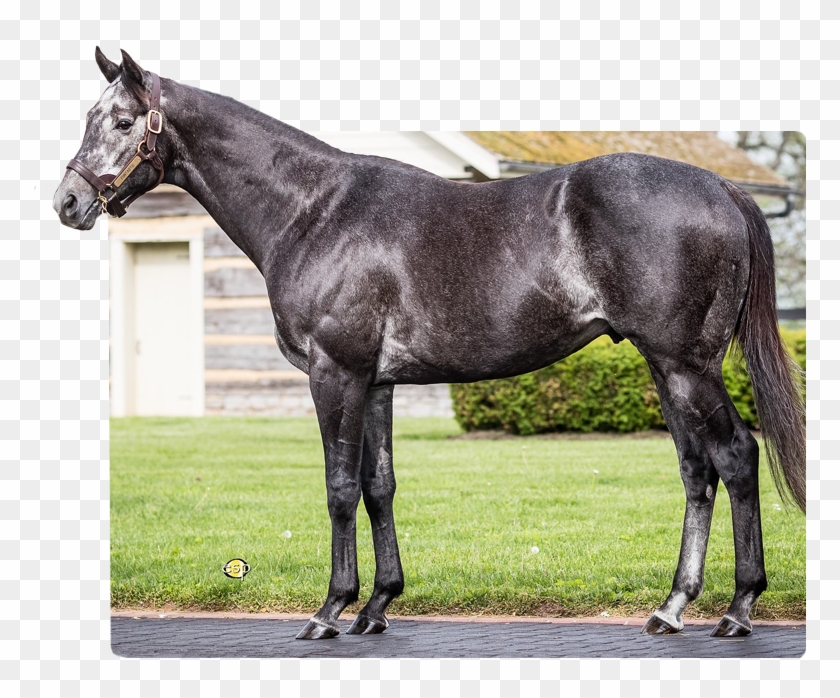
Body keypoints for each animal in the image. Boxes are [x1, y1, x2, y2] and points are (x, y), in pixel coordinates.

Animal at [54, 49, 805, 641]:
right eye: (92, 117)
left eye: (121, 122)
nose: (68, 203)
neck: (314, 211)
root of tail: (722, 189)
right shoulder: (378, 382)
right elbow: (379, 485)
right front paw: (377, 607)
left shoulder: (335, 374)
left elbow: (338, 486)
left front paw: (330, 610)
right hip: (665, 367)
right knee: (697, 471)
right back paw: (673, 606)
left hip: (687, 366)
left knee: (737, 457)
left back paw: (738, 609)